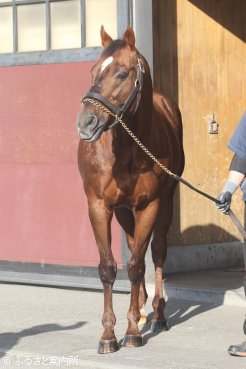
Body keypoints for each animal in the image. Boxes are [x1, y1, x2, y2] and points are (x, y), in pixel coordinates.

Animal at [77, 27, 184, 352]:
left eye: (122, 73)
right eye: (93, 70)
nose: (85, 123)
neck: (127, 150)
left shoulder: (150, 205)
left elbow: (138, 265)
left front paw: (133, 332)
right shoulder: (98, 206)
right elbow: (109, 268)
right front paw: (108, 335)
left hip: (164, 203)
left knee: (157, 253)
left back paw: (156, 316)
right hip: (124, 211)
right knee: (133, 244)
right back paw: (140, 310)